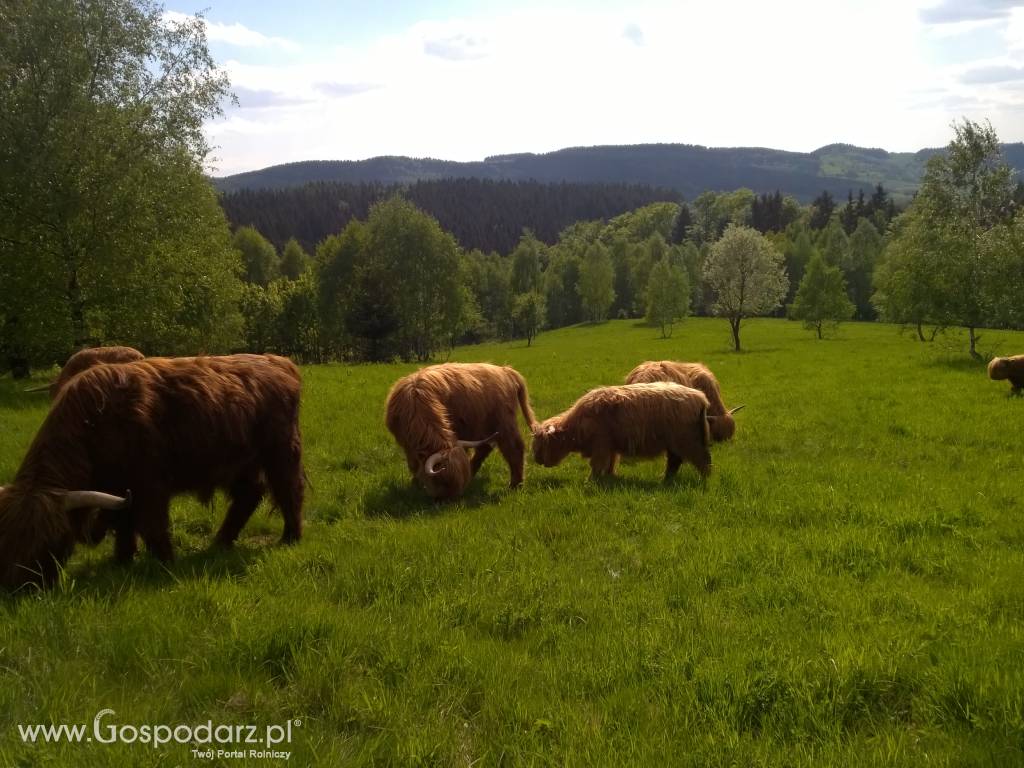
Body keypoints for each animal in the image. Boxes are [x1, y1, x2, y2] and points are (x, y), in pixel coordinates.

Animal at [0, 354, 303, 589]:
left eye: (48, 541)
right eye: (6, 539)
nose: (18, 587)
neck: (93, 427)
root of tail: (280, 361)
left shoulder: (150, 484)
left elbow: (152, 525)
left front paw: (166, 563)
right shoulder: (118, 487)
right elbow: (123, 522)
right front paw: (121, 560)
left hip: (280, 453)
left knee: (288, 491)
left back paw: (290, 537)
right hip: (238, 463)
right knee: (250, 494)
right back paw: (220, 542)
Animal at [385, 364, 540, 501]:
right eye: (443, 481)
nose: (448, 501)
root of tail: (506, 370)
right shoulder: (407, 444)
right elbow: (414, 464)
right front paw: (415, 484)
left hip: (503, 421)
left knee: (514, 449)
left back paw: (515, 484)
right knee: (485, 448)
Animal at [528, 382, 712, 483]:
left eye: (541, 444)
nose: (537, 460)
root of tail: (700, 396)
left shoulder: (600, 444)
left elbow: (596, 465)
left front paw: (590, 480)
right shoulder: (610, 446)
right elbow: (611, 462)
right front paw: (609, 476)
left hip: (688, 440)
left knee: (702, 459)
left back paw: (703, 480)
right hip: (675, 443)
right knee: (674, 462)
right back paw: (665, 479)